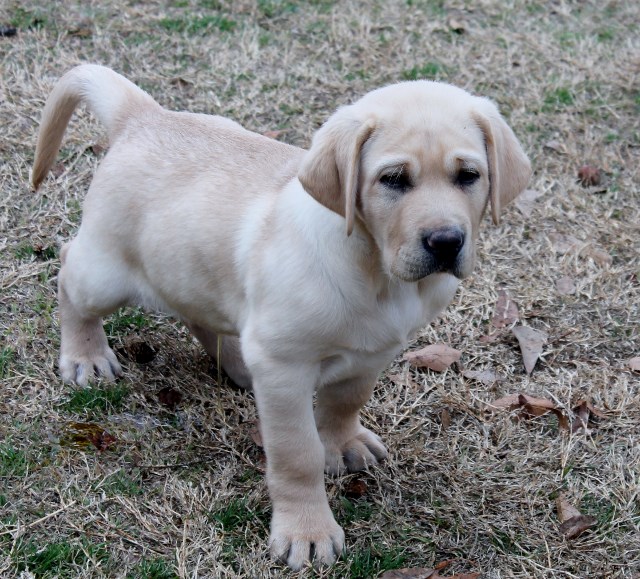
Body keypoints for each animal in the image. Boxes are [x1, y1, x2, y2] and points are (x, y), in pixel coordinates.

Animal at [32, 67, 532, 572]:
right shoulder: (284, 366)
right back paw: (86, 356)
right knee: (69, 271)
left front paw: (343, 442)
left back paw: (235, 363)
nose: (446, 241)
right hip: (105, 273)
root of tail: (143, 115)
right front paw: (306, 530)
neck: (377, 270)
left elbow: (345, 402)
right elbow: (298, 454)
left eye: (468, 176)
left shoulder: (372, 353)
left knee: (199, 311)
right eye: (393, 180)